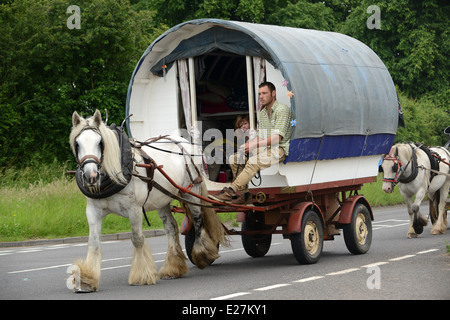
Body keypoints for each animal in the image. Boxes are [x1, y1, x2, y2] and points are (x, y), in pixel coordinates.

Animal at [67, 110, 227, 292]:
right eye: (77, 143)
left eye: (100, 142)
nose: (90, 175)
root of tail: (186, 143)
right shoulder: (93, 211)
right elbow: (93, 243)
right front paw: (87, 279)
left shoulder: (134, 209)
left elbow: (137, 239)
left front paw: (142, 275)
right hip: (162, 200)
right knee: (171, 228)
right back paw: (173, 267)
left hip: (191, 191)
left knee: (198, 220)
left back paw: (202, 254)